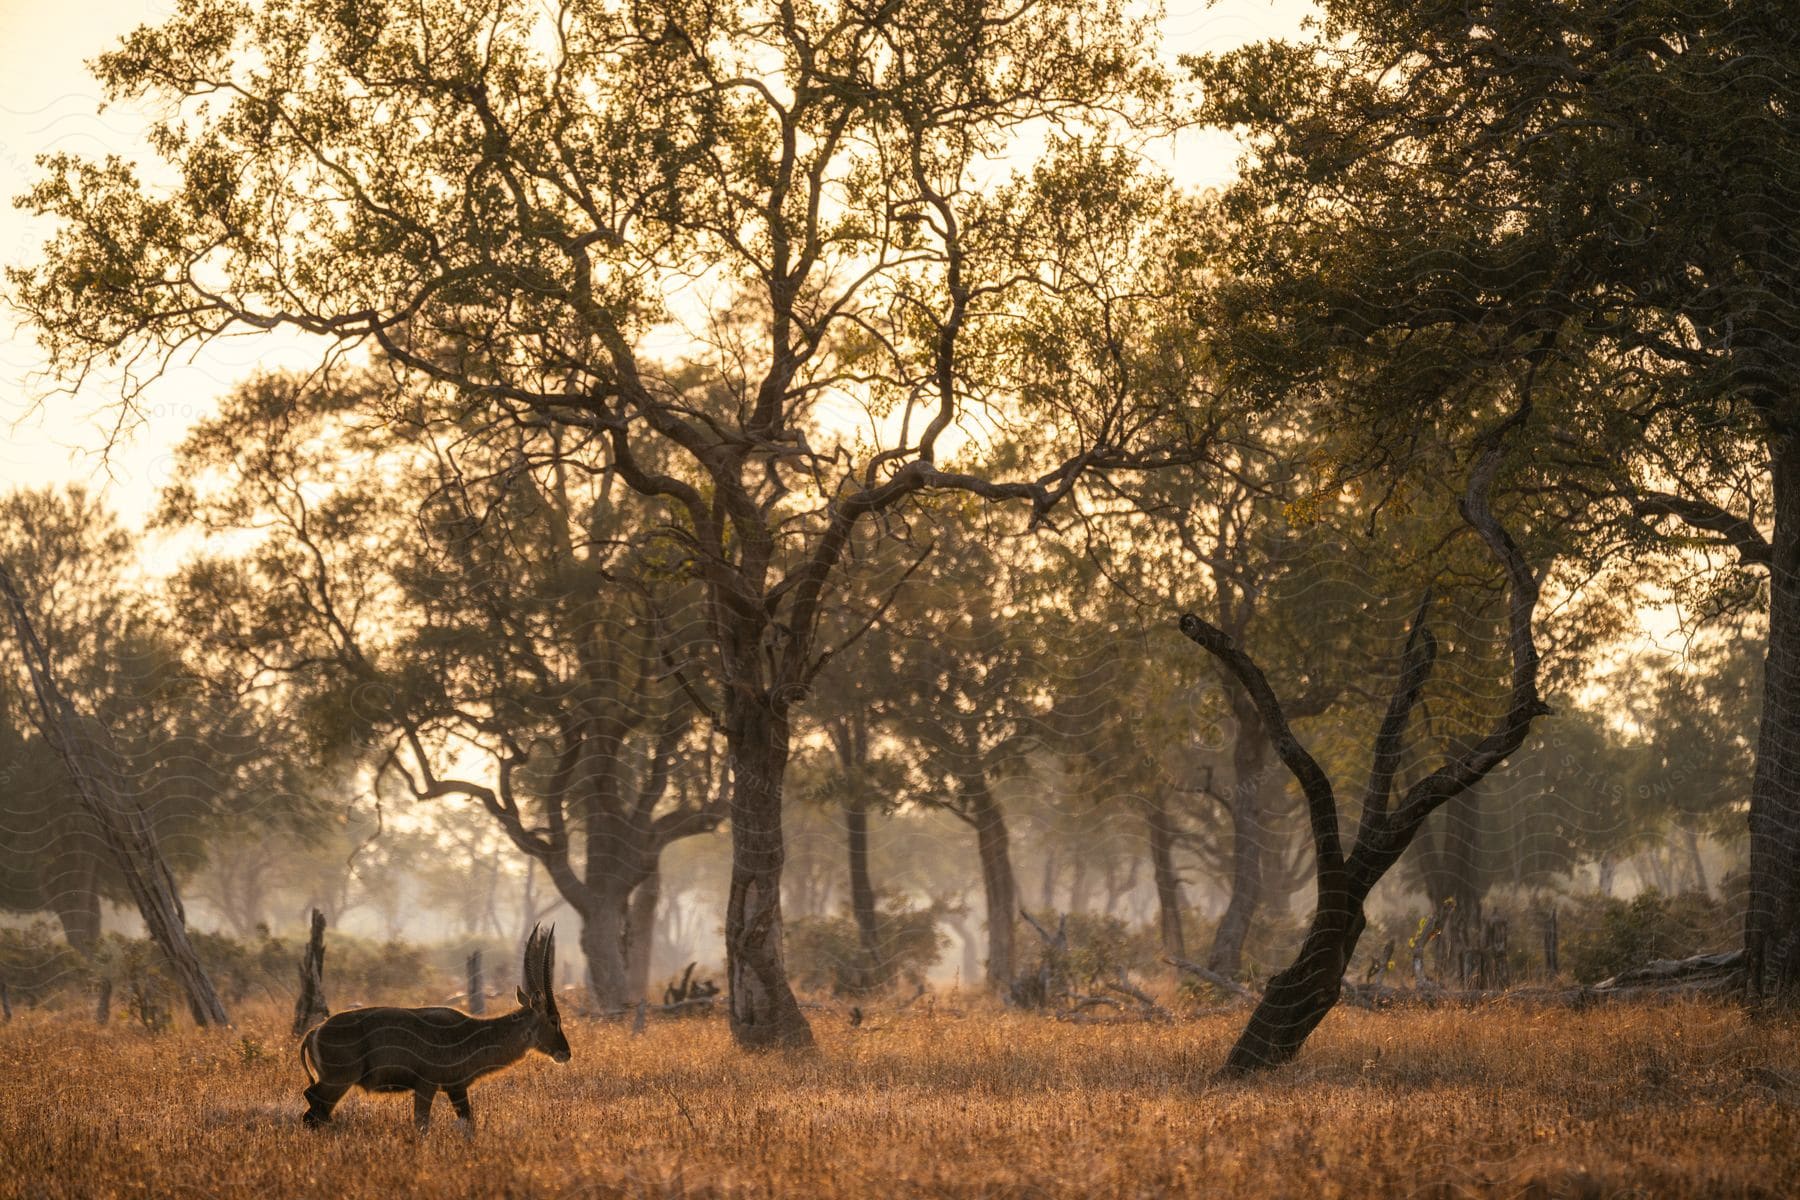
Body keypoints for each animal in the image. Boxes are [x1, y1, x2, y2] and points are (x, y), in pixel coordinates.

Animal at [297, 928, 568, 1129]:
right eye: (554, 1019)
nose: (566, 1053)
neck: (471, 1033)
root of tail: (314, 1032)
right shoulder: (427, 1085)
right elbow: (422, 1125)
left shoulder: (455, 1087)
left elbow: (468, 1126)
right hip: (338, 1080)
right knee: (313, 1108)